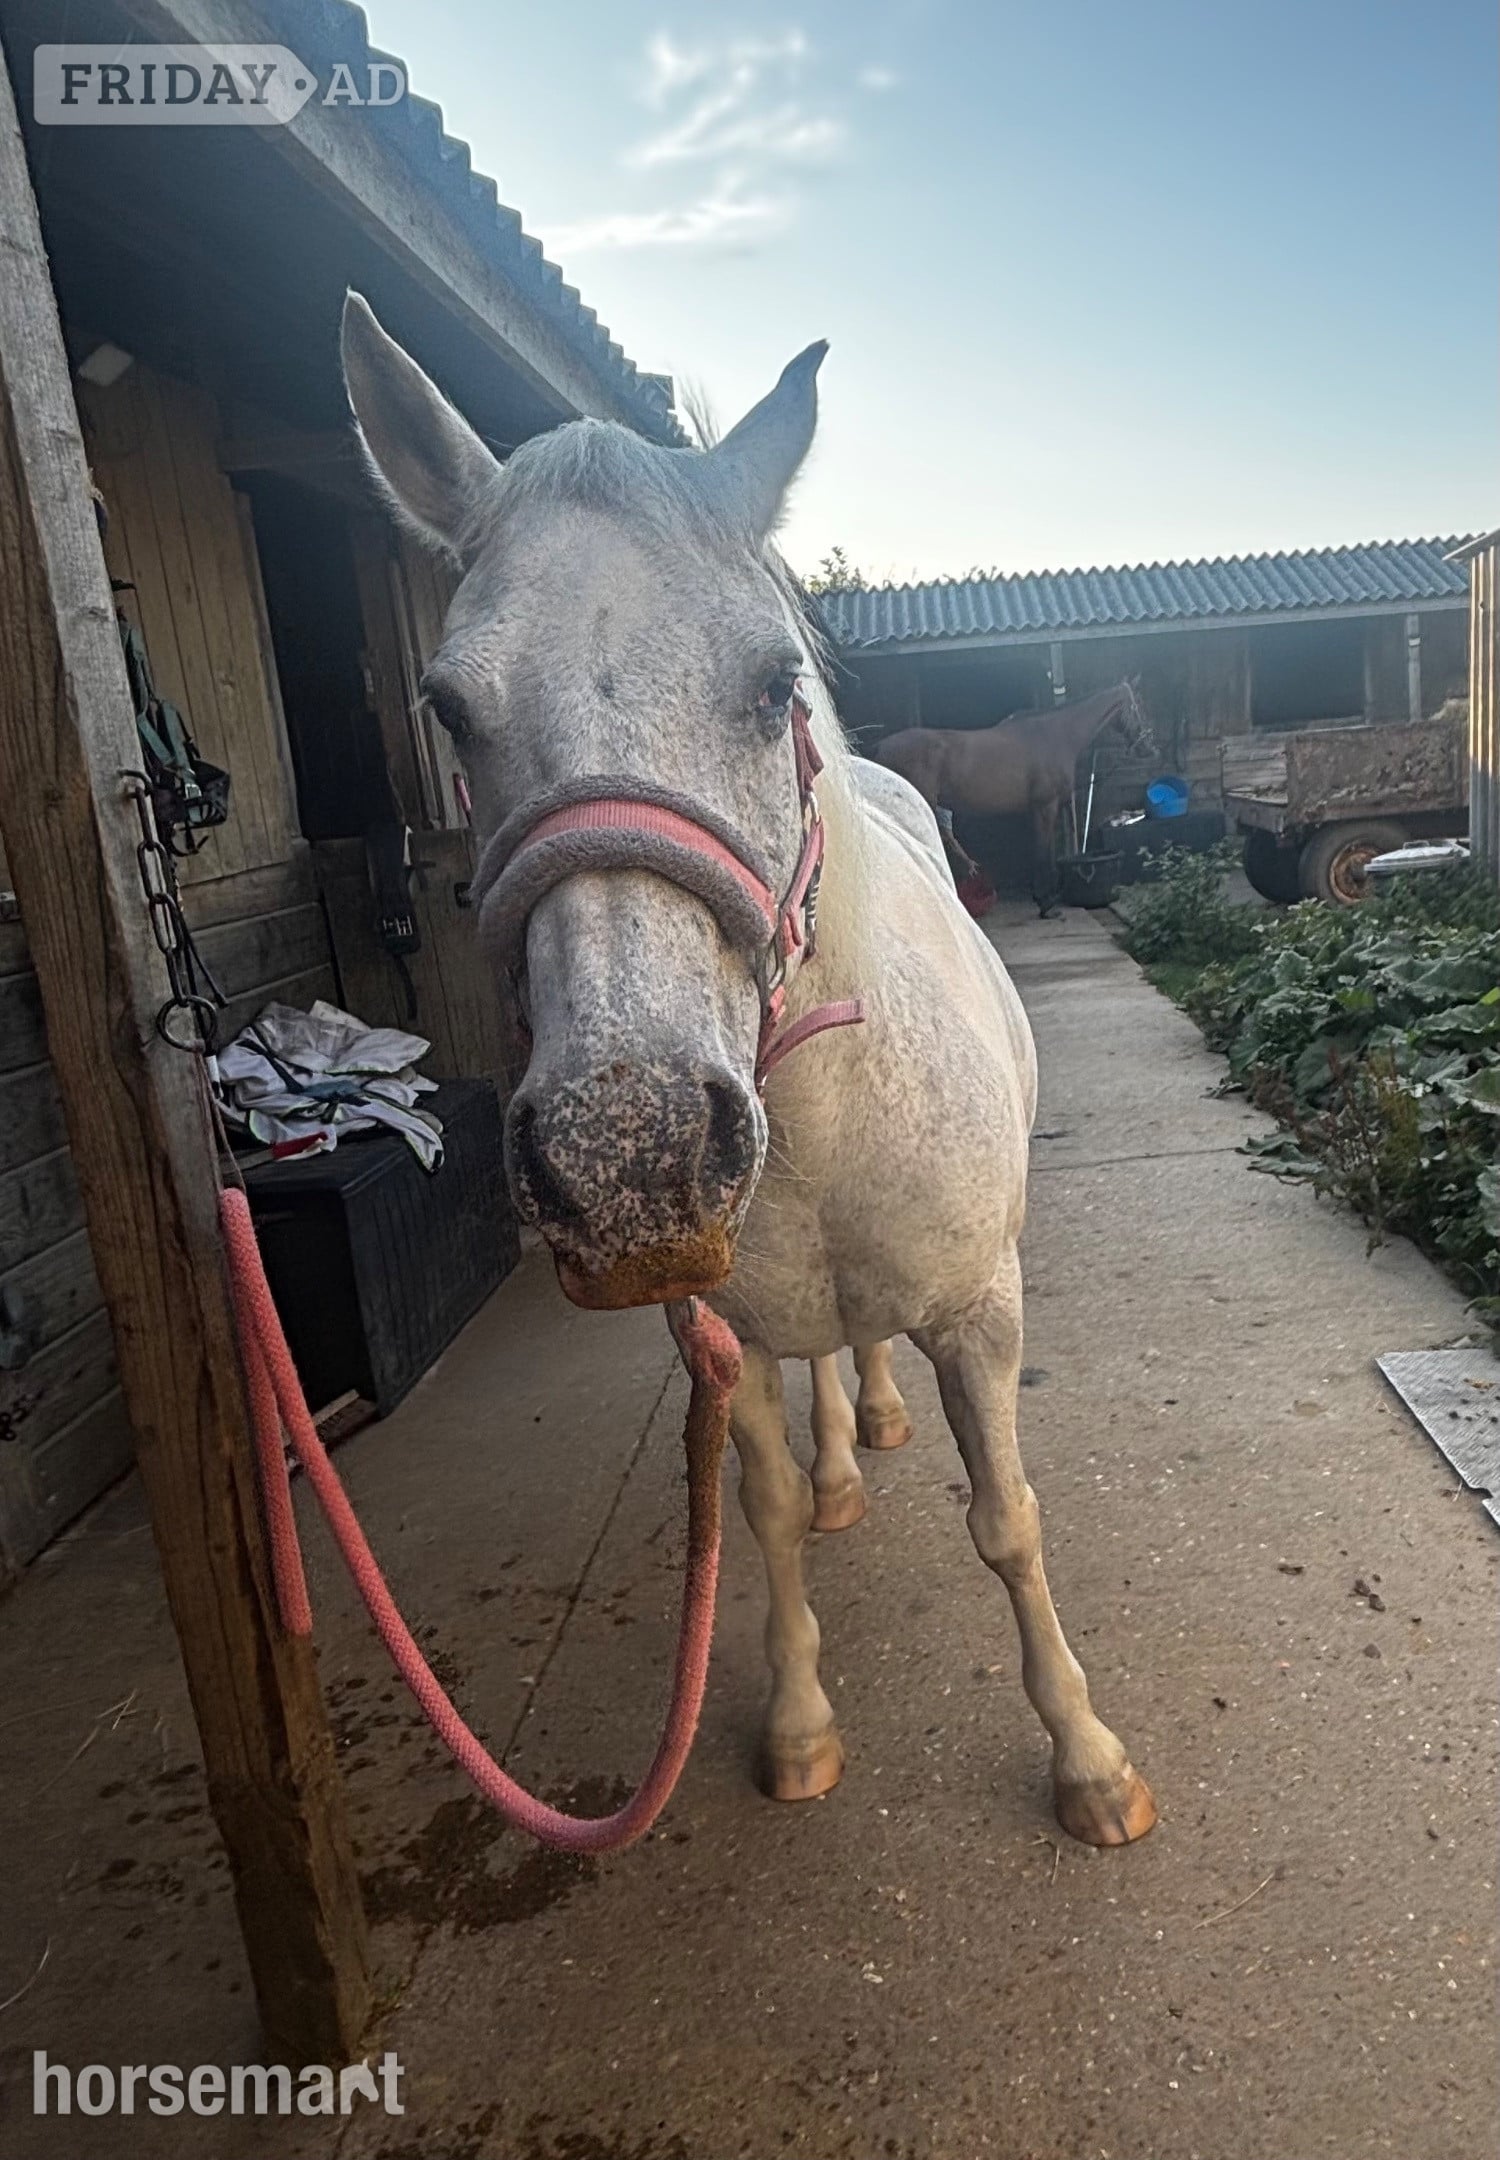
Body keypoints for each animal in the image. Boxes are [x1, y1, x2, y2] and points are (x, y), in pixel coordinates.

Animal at [877, 683, 1153, 913]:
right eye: (1137, 705)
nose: (1147, 748)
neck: (1055, 736)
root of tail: (881, 749)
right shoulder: (1046, 807)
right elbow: (1042, 852)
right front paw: (1045, 903)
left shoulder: (1037, 810)